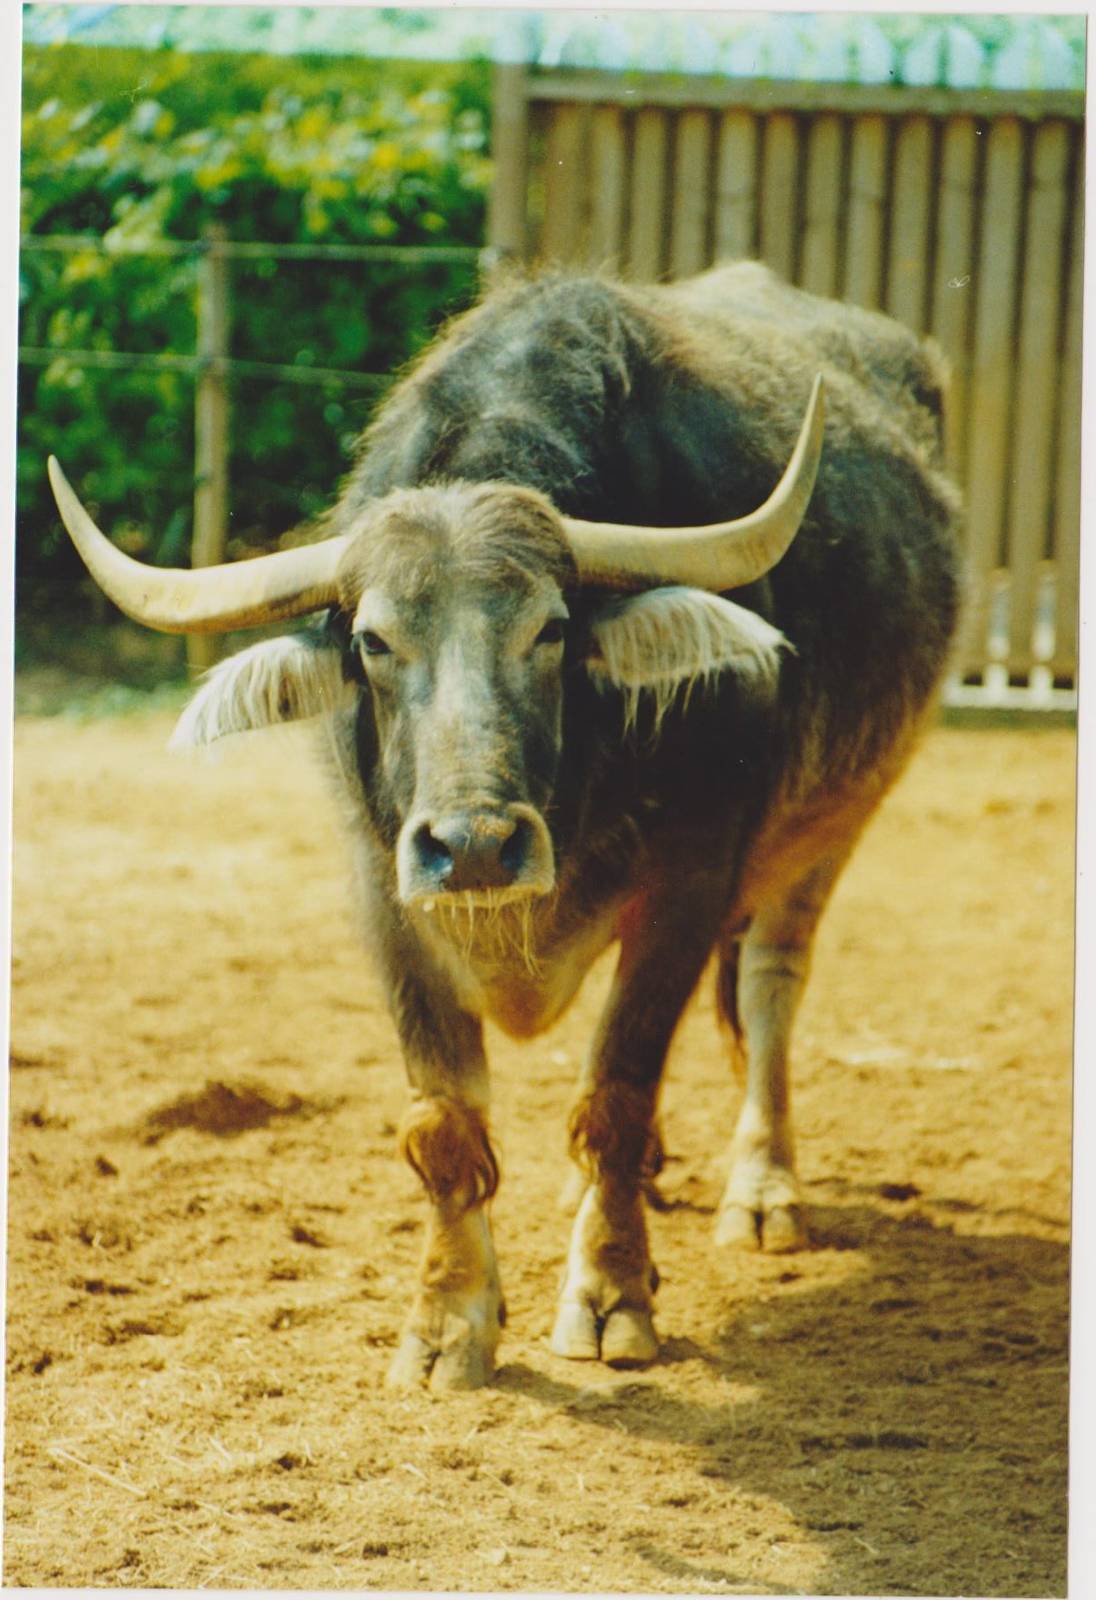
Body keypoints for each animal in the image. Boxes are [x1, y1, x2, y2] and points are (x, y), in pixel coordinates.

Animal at [49, 261, 962, 1390]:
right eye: (372, 640)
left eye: (552, 629)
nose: (475, 845)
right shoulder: (384, 895)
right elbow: (447, 1122)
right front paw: (448, 1322)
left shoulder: (692, 881)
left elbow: (617, 1092)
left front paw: (611, 1295)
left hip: (835, 825)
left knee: (771, 985)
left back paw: (761, 1192)